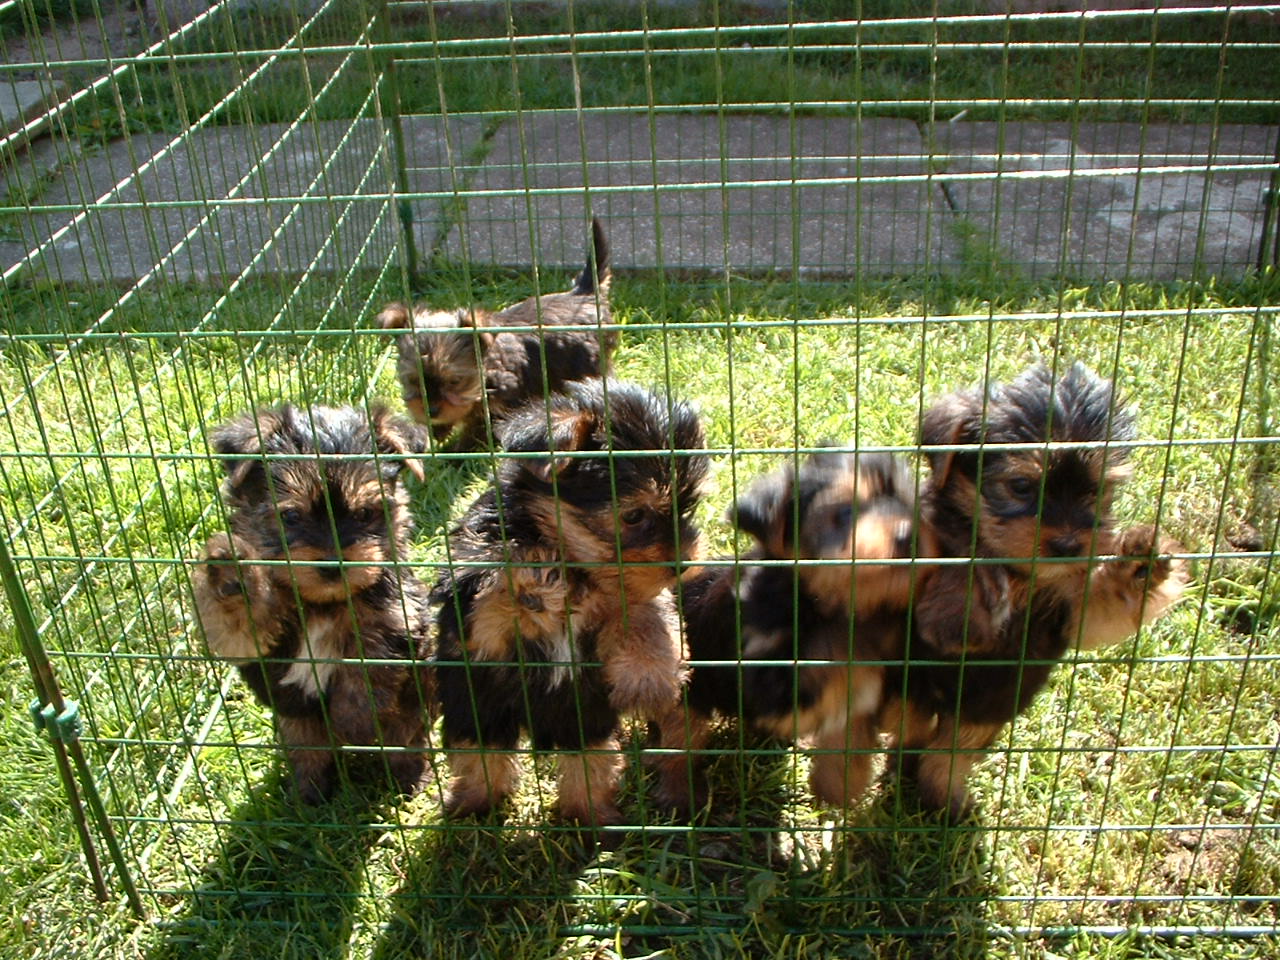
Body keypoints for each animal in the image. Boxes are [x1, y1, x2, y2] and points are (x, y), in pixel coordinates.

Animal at [192, 404, 435, 803]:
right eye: (290, 516)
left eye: (364, 514)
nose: (333, 564)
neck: (323, 603)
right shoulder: (256, 641)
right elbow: (240, 627)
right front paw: (231, 574)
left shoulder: (398, 613)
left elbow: (370, 658)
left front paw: (353, 718)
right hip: (294, 729)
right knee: (308, 749)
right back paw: (307, 793)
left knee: (407, 738)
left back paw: (410, 779)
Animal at [376, 220, 616, 453]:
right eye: (412, 380)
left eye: (455, 381)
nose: (432, 410)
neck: (486, 370)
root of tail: (583, 293)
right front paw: (436, 432)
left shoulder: (497, 409)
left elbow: (476, 433)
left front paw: (454, 454)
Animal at [432, 378, 711, 829]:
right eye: (634, 516)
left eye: (688, 507)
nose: (683, 563)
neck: (573, 559)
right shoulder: (469, 603)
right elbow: (498, 596)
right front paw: (538, 583)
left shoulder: (623, 595)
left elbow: (643, 613)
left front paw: (649, 675)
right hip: (474, 707)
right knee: (479, 753)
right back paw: (473, 805)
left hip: (585, 722)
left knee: (593, 759)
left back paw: (596, 814)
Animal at [660, 455, 931, 814]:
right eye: (845, 512)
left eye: (908, 506)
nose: (910, 536)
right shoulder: (764, 669)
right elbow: (835, 655)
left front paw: (837, 785)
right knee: (678, 733)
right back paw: (680, 795)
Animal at [880, 363, 1187, 824]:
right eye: (1022, 486)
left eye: (1097, 491)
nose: (1068, 544)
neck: (1021, 573)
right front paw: (964, 599)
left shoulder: (1072, 610)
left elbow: (1103, 604)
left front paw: (1139, 563)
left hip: (981, 716)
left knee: (945, 754)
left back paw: (945, 799)